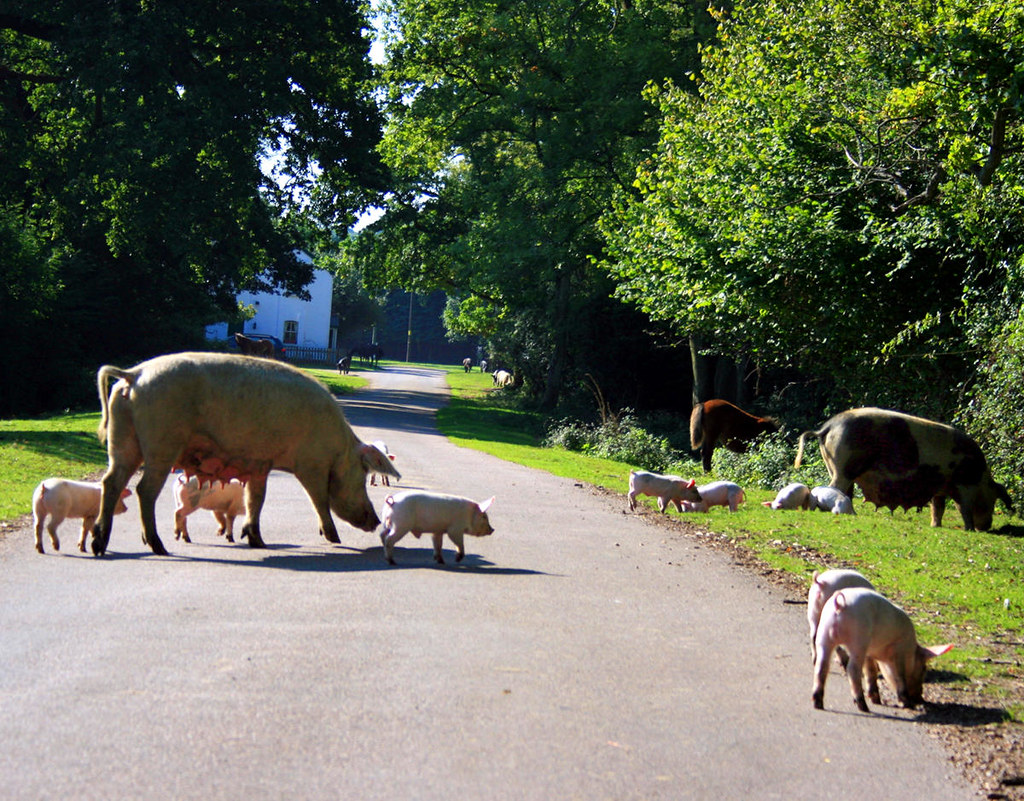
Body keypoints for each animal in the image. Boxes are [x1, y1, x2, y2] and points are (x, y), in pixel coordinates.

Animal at [91, 352, 401, 556]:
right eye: (363, 474)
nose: (375, 520)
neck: (338, 447)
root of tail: (134, 374)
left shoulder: (260, 465)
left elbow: (256, 499)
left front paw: (256, 541)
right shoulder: (310, 464)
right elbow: (319, 499)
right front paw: (333, 538)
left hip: (122, 441)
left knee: (111, 482)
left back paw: (99, 545)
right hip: (161, 443)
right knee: (144, 490)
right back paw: (158, 547)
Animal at [795, 407, 1012, 531]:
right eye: (993, 500)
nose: (987, 527)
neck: (980, 477)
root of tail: (827, 428)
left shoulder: (940, 487)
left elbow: (938, 507)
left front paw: (936, 526)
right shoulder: (963, 486)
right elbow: (963, 508)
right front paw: (969, 530)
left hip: (836, 466)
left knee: (843, 490)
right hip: (844, 466)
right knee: (836, 487)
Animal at [812, 587, 953, 712]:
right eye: (924, 669)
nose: (920, 699)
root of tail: (840, 605)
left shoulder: (869, 652)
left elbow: (870, 671)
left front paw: (877, 700)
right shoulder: (899, 648)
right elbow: (899, 675)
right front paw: (906, 704)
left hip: (824, 633)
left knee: (822, 666)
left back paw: (818, 704)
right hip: (858, 639)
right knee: (852, 670)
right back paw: (864, 707)